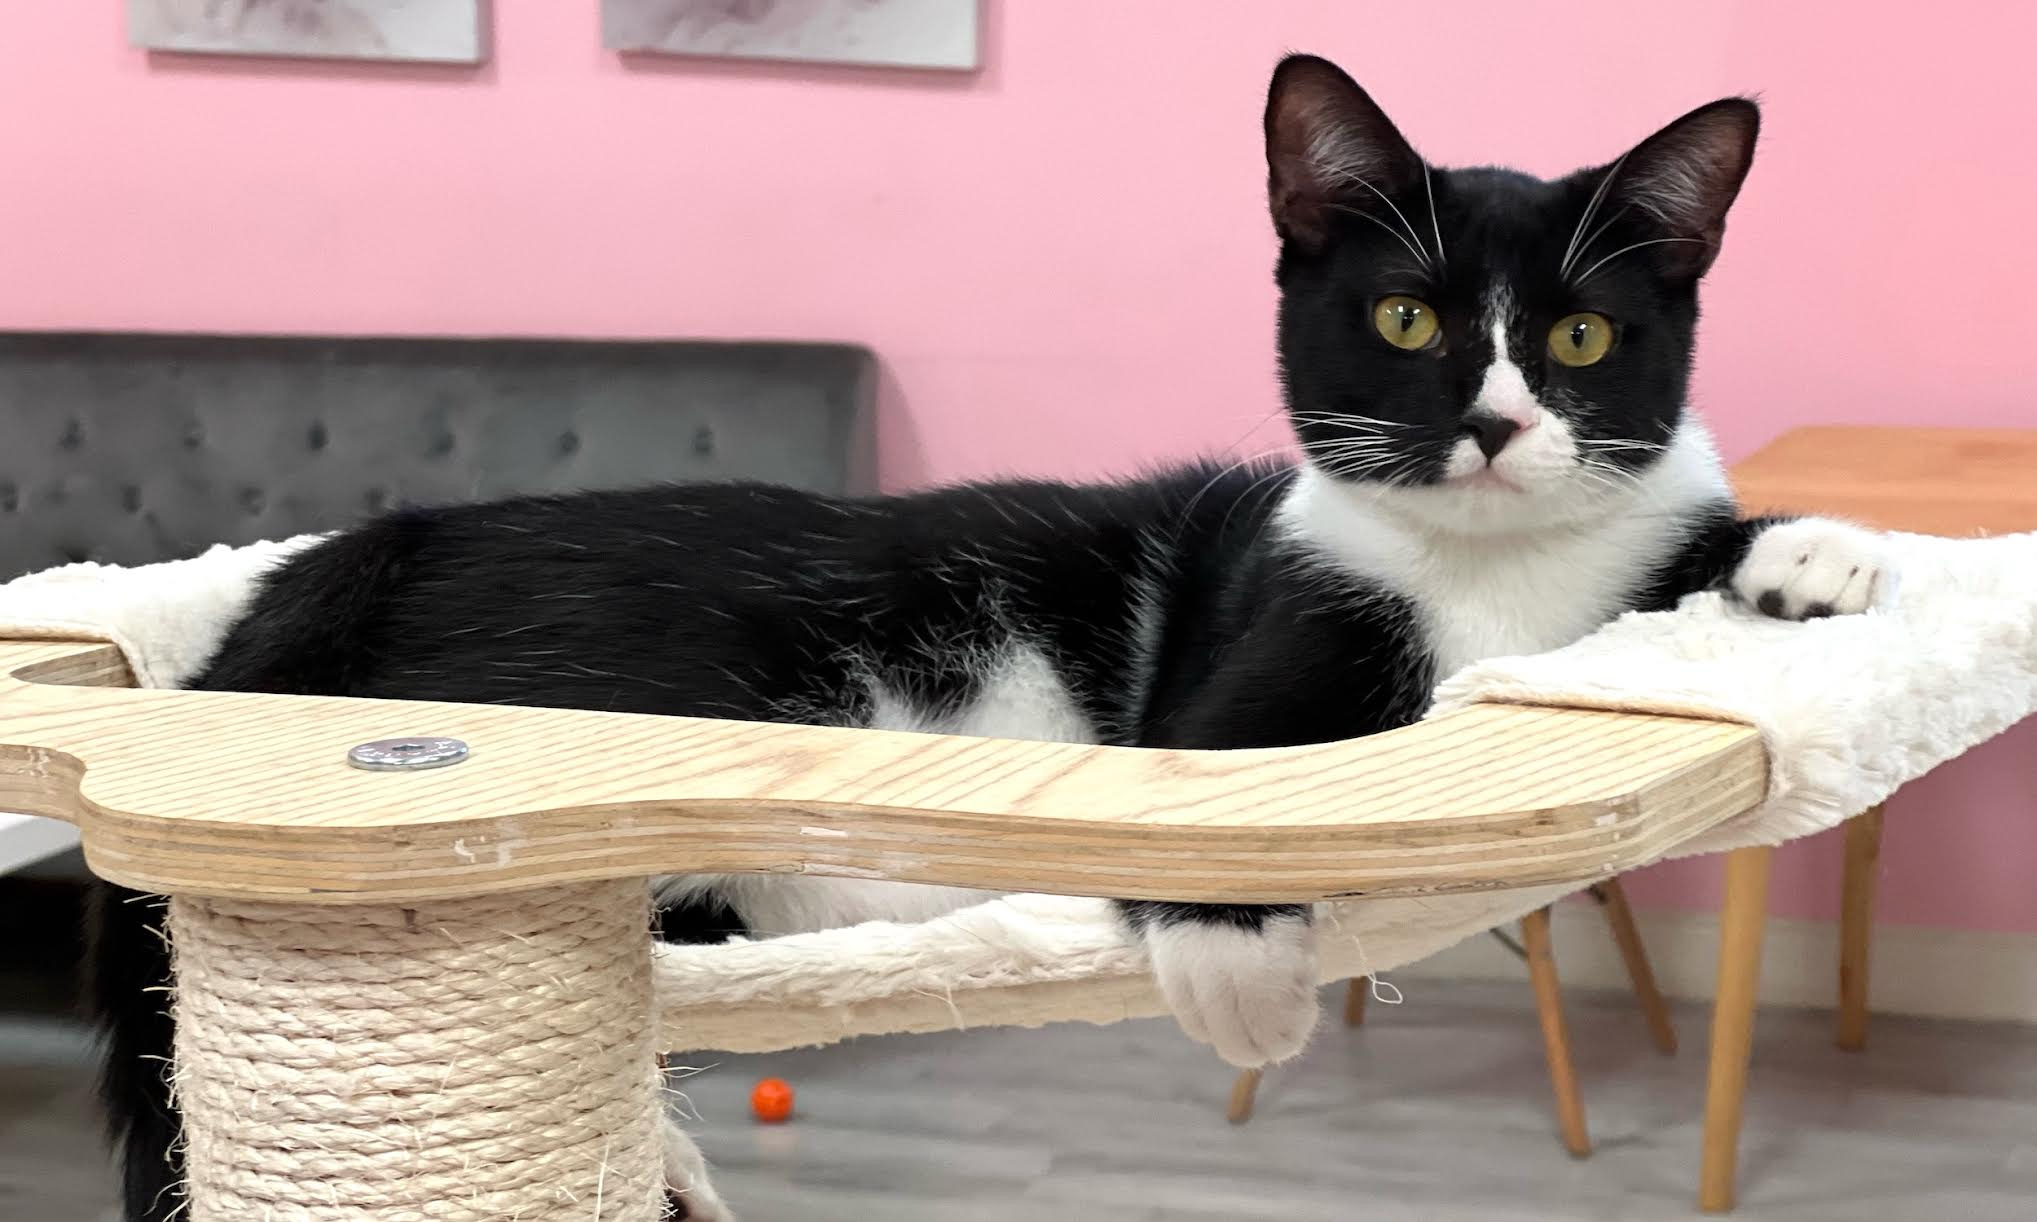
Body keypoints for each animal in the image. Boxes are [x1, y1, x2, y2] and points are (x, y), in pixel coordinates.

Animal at [91, 54, 1890, 1222]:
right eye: (1401, 318)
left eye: (1581, 336)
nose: (1499, 426)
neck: (1483, 572)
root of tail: (365, 550)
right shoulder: (1268, 610)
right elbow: (1217, 768)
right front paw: (1235, 962)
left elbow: (1674, 546)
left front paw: (1812, 552)